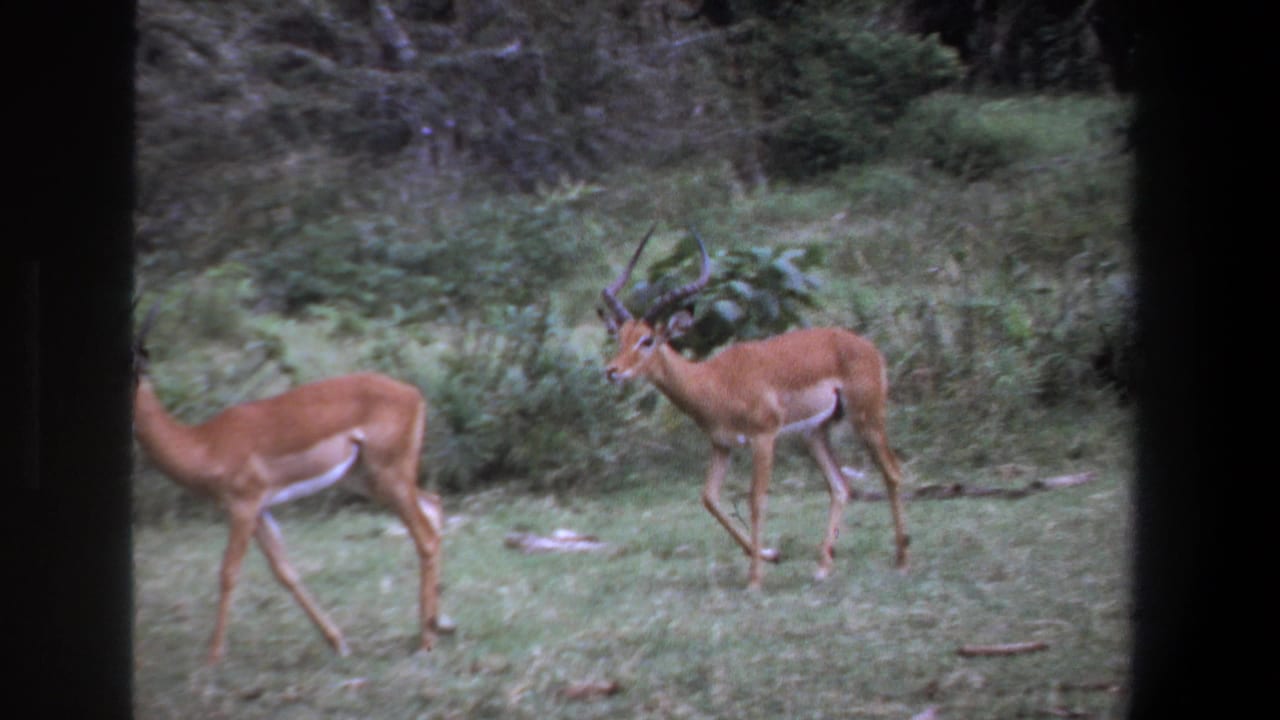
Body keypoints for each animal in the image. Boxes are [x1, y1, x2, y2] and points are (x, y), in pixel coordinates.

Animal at [132, 307, 445, 663]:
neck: (205, 444)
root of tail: (413, 394)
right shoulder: (260, 511)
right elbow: (285, 572)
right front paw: (338, 642)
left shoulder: (243, 507)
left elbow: (228, 573)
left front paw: (213, 657)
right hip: (367, 479)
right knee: (434, 506)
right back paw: (435, 628)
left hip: (389, 476)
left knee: (425, 536)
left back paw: (425, 642)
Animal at [599, 226, 909, 589]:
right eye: (620, 337)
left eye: (647, 340)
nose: (612, 371)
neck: (714, 381)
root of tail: (869, 348)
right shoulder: (722, 444)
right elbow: (709, 498)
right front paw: (771, 555)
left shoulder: (764, 438)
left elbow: (755, 500)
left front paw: (755, 580)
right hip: (814, 433)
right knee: (841, 486)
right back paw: (822, 568)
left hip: (867, 419)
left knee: (892, 473)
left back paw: (902, 562)